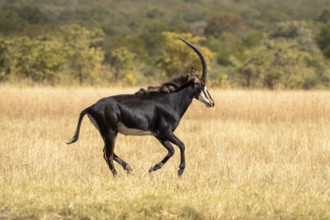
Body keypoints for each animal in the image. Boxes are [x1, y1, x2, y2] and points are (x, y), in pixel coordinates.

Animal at [68, 37, 215, 175]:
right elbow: (182, 145)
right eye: (202, 84)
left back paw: (128, 168)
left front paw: (153, 168)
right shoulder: (166, 132)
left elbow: (172, 150)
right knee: (107, 154)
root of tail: (91, 107)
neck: (170, 101)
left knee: (107, 152)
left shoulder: (158, 134)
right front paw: (180, 170)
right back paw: (117, 176)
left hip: (109, 133)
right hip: (110, 132)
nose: (212, 103)